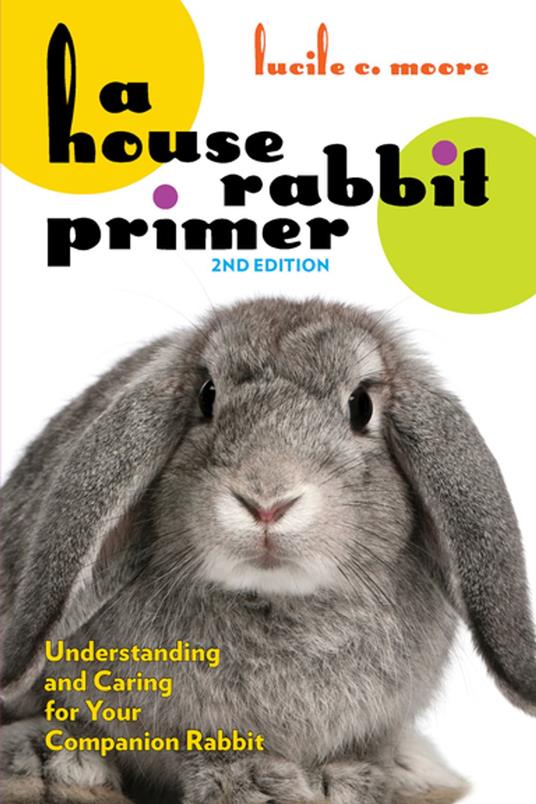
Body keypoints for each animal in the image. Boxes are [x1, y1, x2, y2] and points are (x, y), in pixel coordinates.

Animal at [1, 297, 535, 804]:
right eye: (207, 396)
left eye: (361, 406)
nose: (267, 501)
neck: (279, 599)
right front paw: (255, 785)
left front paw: (345, 782)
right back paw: (55, 766)